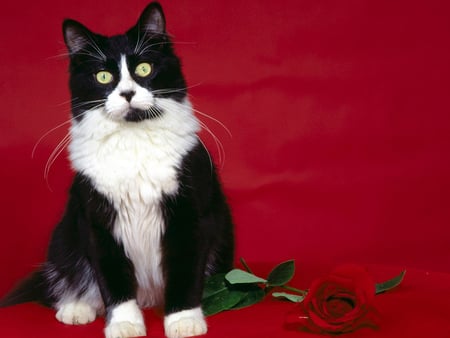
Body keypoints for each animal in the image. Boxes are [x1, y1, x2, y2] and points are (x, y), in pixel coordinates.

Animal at [1, 2, 236, 338]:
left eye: (144, 69)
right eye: (102, 76)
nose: (127, 93)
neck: (132, 139)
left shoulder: (190, 214)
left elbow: (185, 271)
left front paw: (183, 321)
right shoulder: (97, 221)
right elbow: (112, 280)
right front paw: (125, 323)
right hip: (66, 232)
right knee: (66, 278)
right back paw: (76, 309)